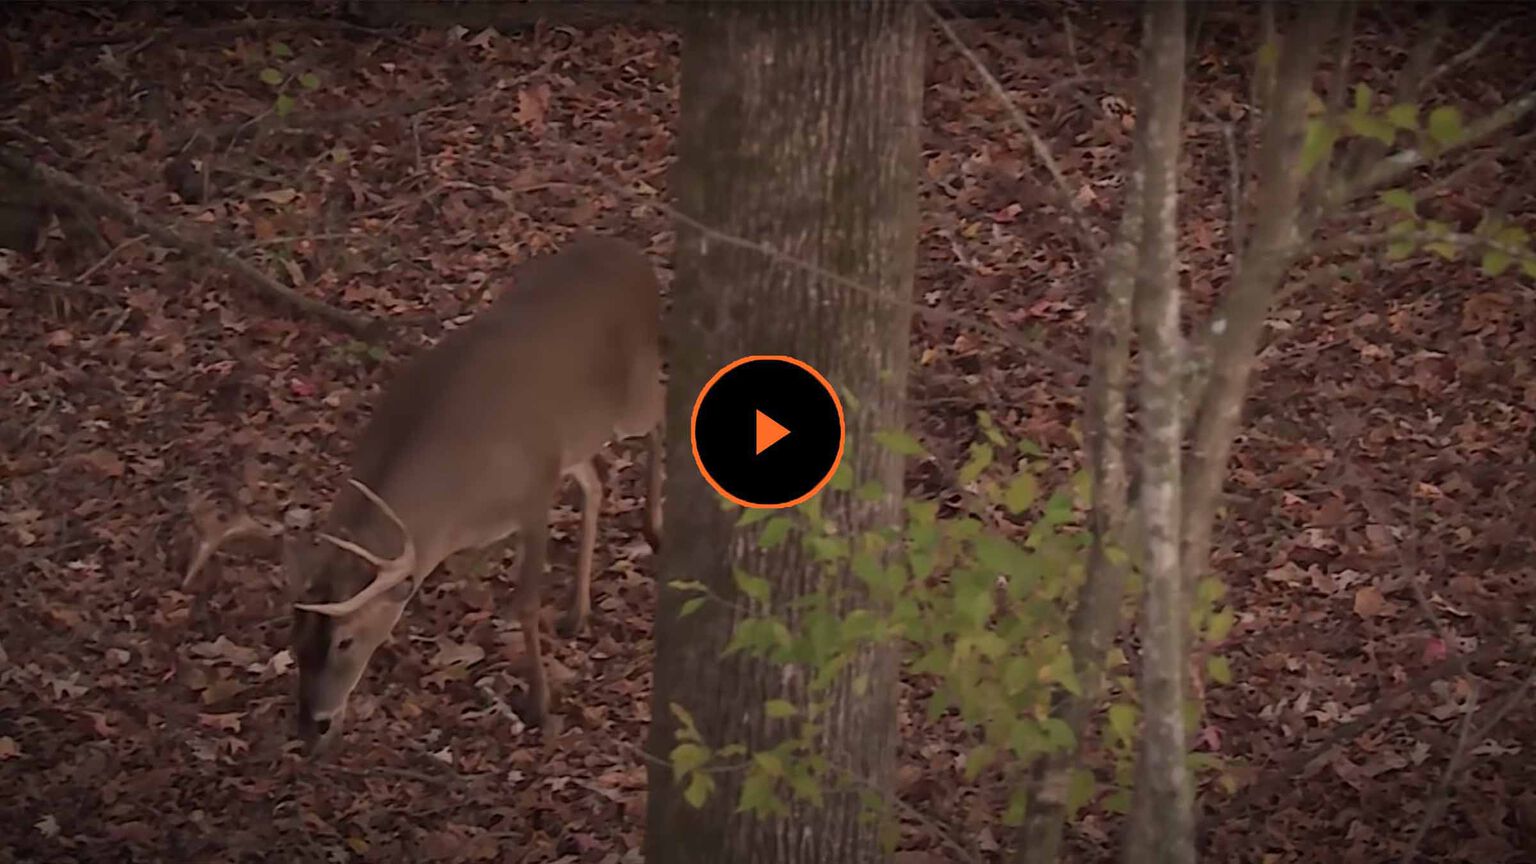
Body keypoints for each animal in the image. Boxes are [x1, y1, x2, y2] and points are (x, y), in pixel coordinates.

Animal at [186, 234, 664, 755]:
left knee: (663, 415)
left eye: (345, 641)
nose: (313, 725)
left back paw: (653, 527)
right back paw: (578, 612)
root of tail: (636, 260)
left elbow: (525, 602)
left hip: (633, 397)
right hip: (579, 435)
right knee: (596, 480)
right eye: (295, 640)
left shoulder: (534, 490)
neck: (456, 503)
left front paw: (539, 706)